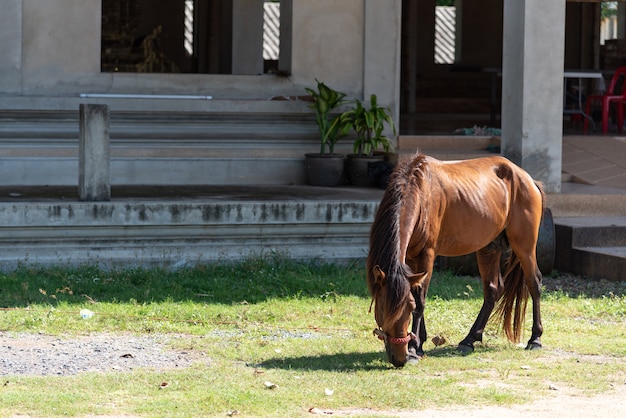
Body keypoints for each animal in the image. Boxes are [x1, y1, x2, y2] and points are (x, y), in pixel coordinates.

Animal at [366, 152, 540, 368]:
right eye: (382, 309)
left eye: (408, 308)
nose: (399, 359)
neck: (420, 193)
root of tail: (528, 179)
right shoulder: (411, 258)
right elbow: (418, 295)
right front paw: (420, 343)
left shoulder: (427, 254)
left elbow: (420, 300)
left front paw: (414, 348)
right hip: (488, 248)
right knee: (493, 289)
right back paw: (469, 340)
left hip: (524, 246)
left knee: (534, 284)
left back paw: (535, 339)